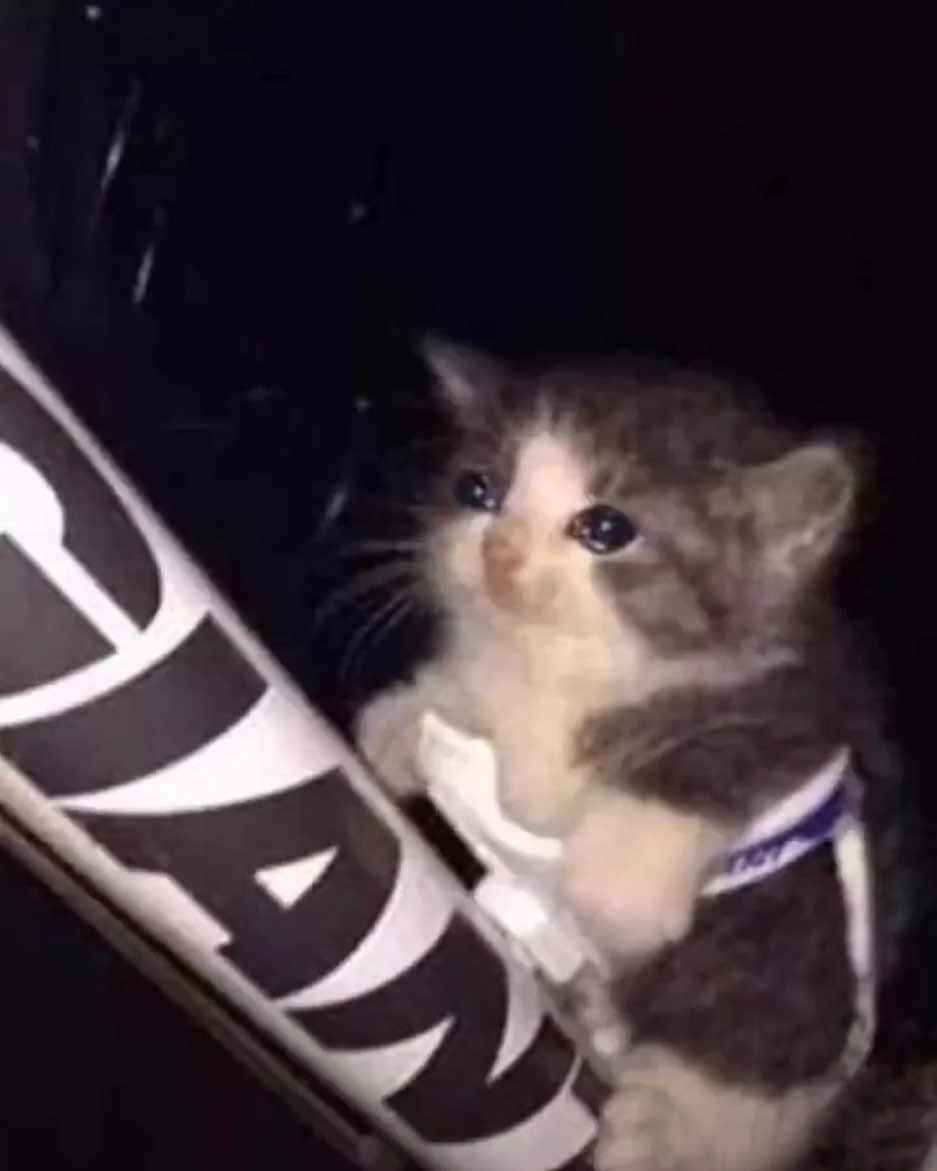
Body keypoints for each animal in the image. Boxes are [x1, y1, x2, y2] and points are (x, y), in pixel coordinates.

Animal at [355, 338, 908, 1171]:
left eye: (604, 528)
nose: (499, 553)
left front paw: (623, 872)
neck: (568, 677)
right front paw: (406, 717)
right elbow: (466, 691)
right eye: (477, 488)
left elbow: (772, 1011)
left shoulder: (823, 721)